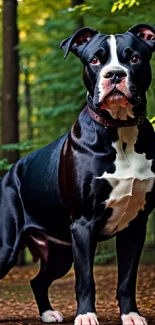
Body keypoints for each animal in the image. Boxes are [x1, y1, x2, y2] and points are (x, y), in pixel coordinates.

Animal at [0, 23, 155, 324]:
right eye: (95, 60)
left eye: (134, 58)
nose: (115, 74)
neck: (119, 130)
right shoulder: (83, 225)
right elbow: (85, 279)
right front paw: (85, 315)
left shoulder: (135, 225)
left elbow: (127, 278)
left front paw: (130, 314)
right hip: (7, 246)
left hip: (59, 254)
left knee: (38, 280)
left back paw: (48, 313)